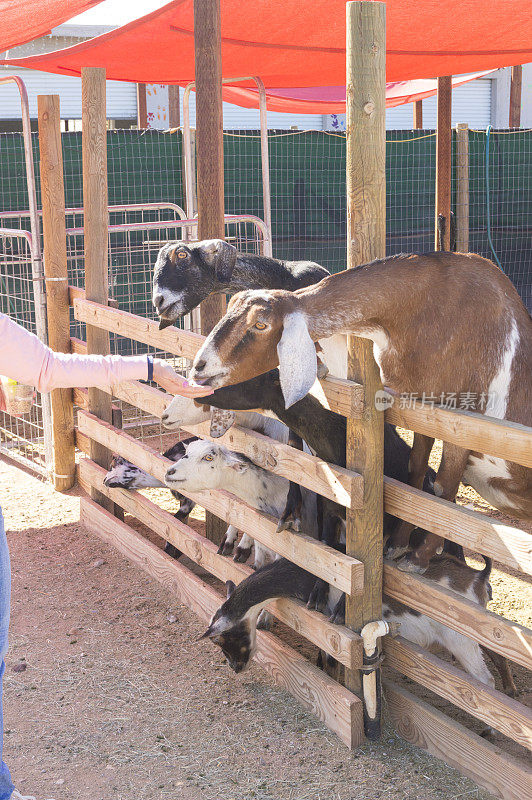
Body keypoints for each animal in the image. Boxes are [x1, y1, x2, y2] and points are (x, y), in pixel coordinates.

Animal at [191, 253, 532, 572]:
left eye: (260, 324)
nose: (199, 368)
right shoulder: (422, 411)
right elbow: (415, 475)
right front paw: (397, 545)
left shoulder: (463, 423)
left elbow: (443, 490)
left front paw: (417, 558)